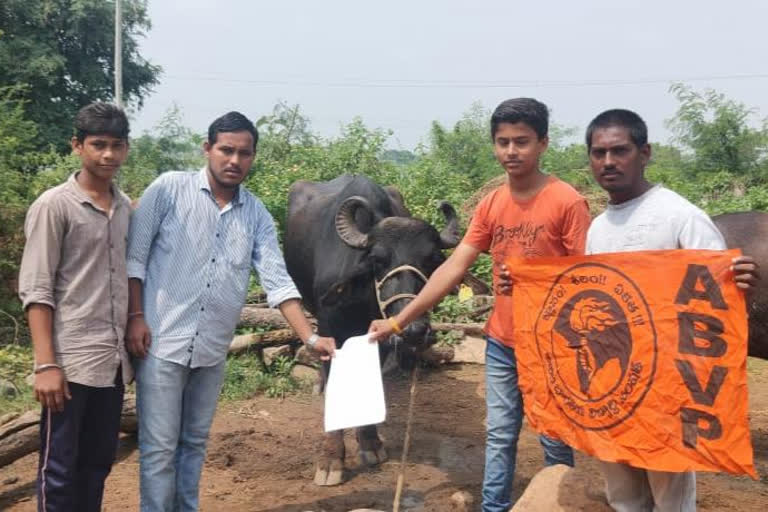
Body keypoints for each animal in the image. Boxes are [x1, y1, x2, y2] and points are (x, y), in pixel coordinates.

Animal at [284, 173, 460, 484]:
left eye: (432, 260)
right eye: (378, 259)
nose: (415, 330)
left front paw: (370, 443)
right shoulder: (331, 329)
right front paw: (331, 460)